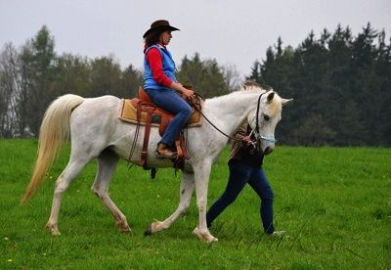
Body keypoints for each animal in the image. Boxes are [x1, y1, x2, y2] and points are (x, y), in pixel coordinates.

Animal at [20, 86, 290, 243]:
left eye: (278, 119)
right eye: (266, 117)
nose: (268, 149)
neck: (215, 119)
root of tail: (82, 102)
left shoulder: (189, 170)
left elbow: (183, 204)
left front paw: (156, 227)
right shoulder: (202, 166)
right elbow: (202, 201)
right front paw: (206, 234)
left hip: (108, 157)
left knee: (100, 189)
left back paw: (123, 224)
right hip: (82, 154)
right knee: (62, 183)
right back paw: (53, 227)